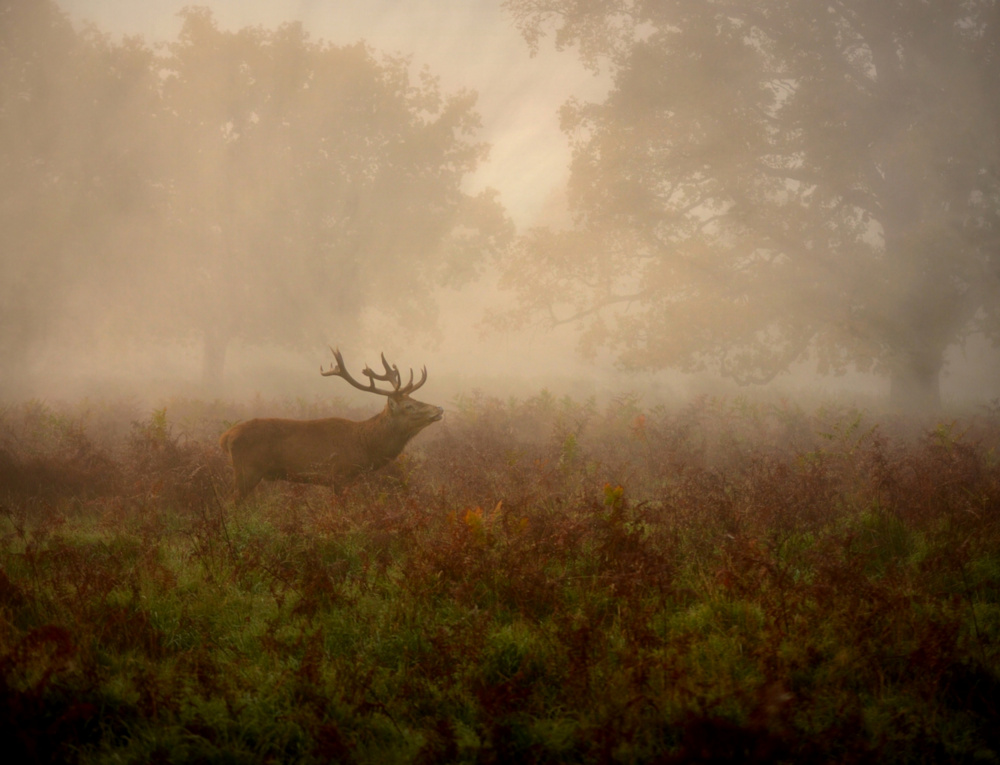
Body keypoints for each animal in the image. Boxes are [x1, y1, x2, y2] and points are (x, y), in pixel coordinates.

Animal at [221, 348, 444, 502]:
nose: (439, 409)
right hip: (247, 470)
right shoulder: (338, 476)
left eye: (414, 399)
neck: (364, 447)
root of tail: (226, 436)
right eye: (409, 406)